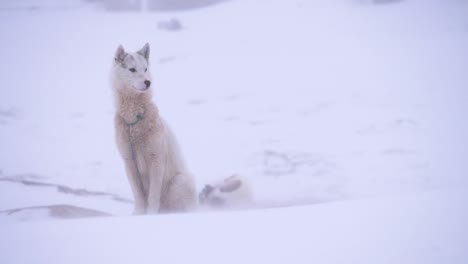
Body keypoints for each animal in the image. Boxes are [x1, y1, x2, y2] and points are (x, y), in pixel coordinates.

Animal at [111, 42, 196, 213]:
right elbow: (139, 196)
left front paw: (151, 215)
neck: (134, 121)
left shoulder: (156, 159)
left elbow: (152, 197)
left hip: (181, 181)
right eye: (132, 69)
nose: (148, 82)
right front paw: (138, 214)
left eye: (145, 69)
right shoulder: (129, 161)